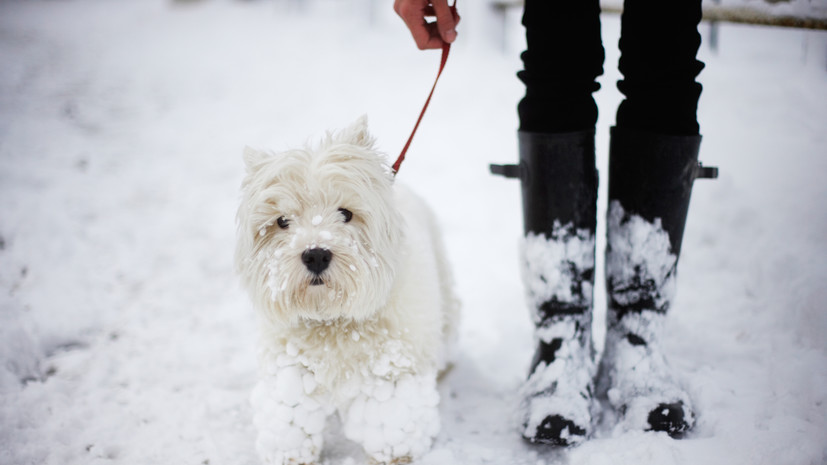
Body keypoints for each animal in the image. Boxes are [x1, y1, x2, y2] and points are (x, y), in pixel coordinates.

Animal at [234, 116, 460, 464]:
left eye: (345, 213)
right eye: (282, 221)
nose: (315, 254)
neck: (332, 321)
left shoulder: (391, 374)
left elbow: (392, 430)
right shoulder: (289, 371)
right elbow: (290, 424)